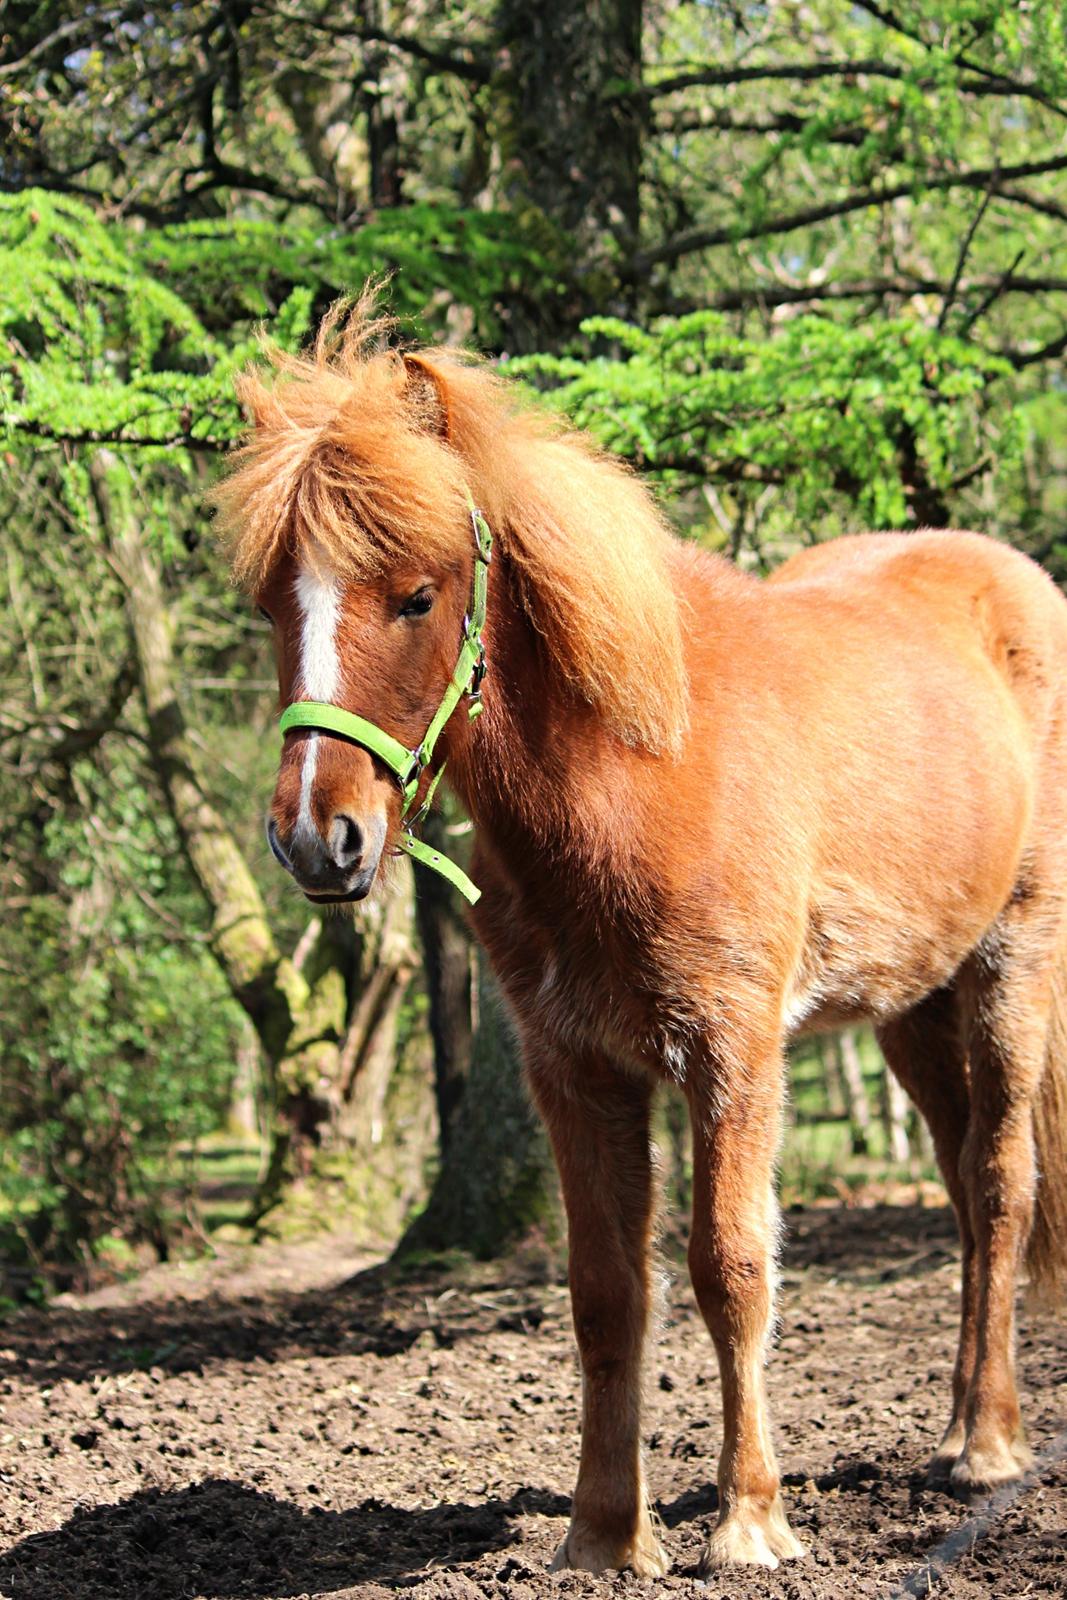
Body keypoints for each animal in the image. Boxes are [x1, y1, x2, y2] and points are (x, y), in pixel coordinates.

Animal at [217, 305, 1067, 1580]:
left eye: (415, 597)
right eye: (275, 603)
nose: (320, 837)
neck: (637, 773)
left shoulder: (732, 1056)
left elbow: (728, 1267)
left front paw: (749, 1520)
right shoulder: (575, 1070)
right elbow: (606, 1289)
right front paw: (604, 1534)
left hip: (1008, 967)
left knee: (1002, 1183)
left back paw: (990, 1447)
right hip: (911, 1009)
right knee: (964, 1192)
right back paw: (960, 1421)